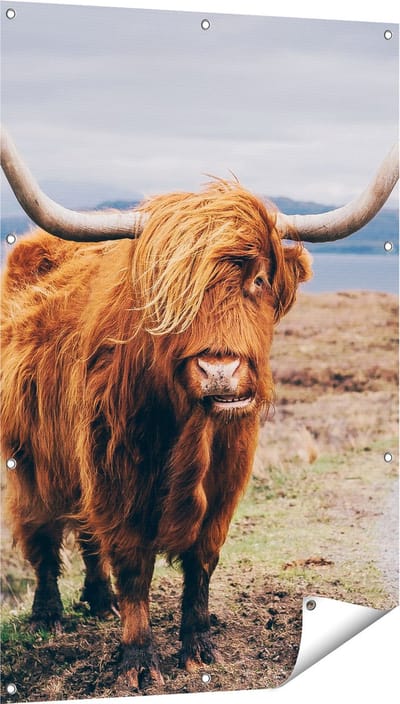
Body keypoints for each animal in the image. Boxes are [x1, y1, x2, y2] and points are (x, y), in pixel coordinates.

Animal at [1, 125, 398, 689]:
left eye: (259, 278)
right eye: (171, 290)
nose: (219, 371)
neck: (191, 430)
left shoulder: (227, 479)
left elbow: (201, 561)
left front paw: (198, 646)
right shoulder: (116, 474)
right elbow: (133, 564)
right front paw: (138, 661)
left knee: (86, 537)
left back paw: (98, 602)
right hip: (28, 455)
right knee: (42, 531)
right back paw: (49, 614)